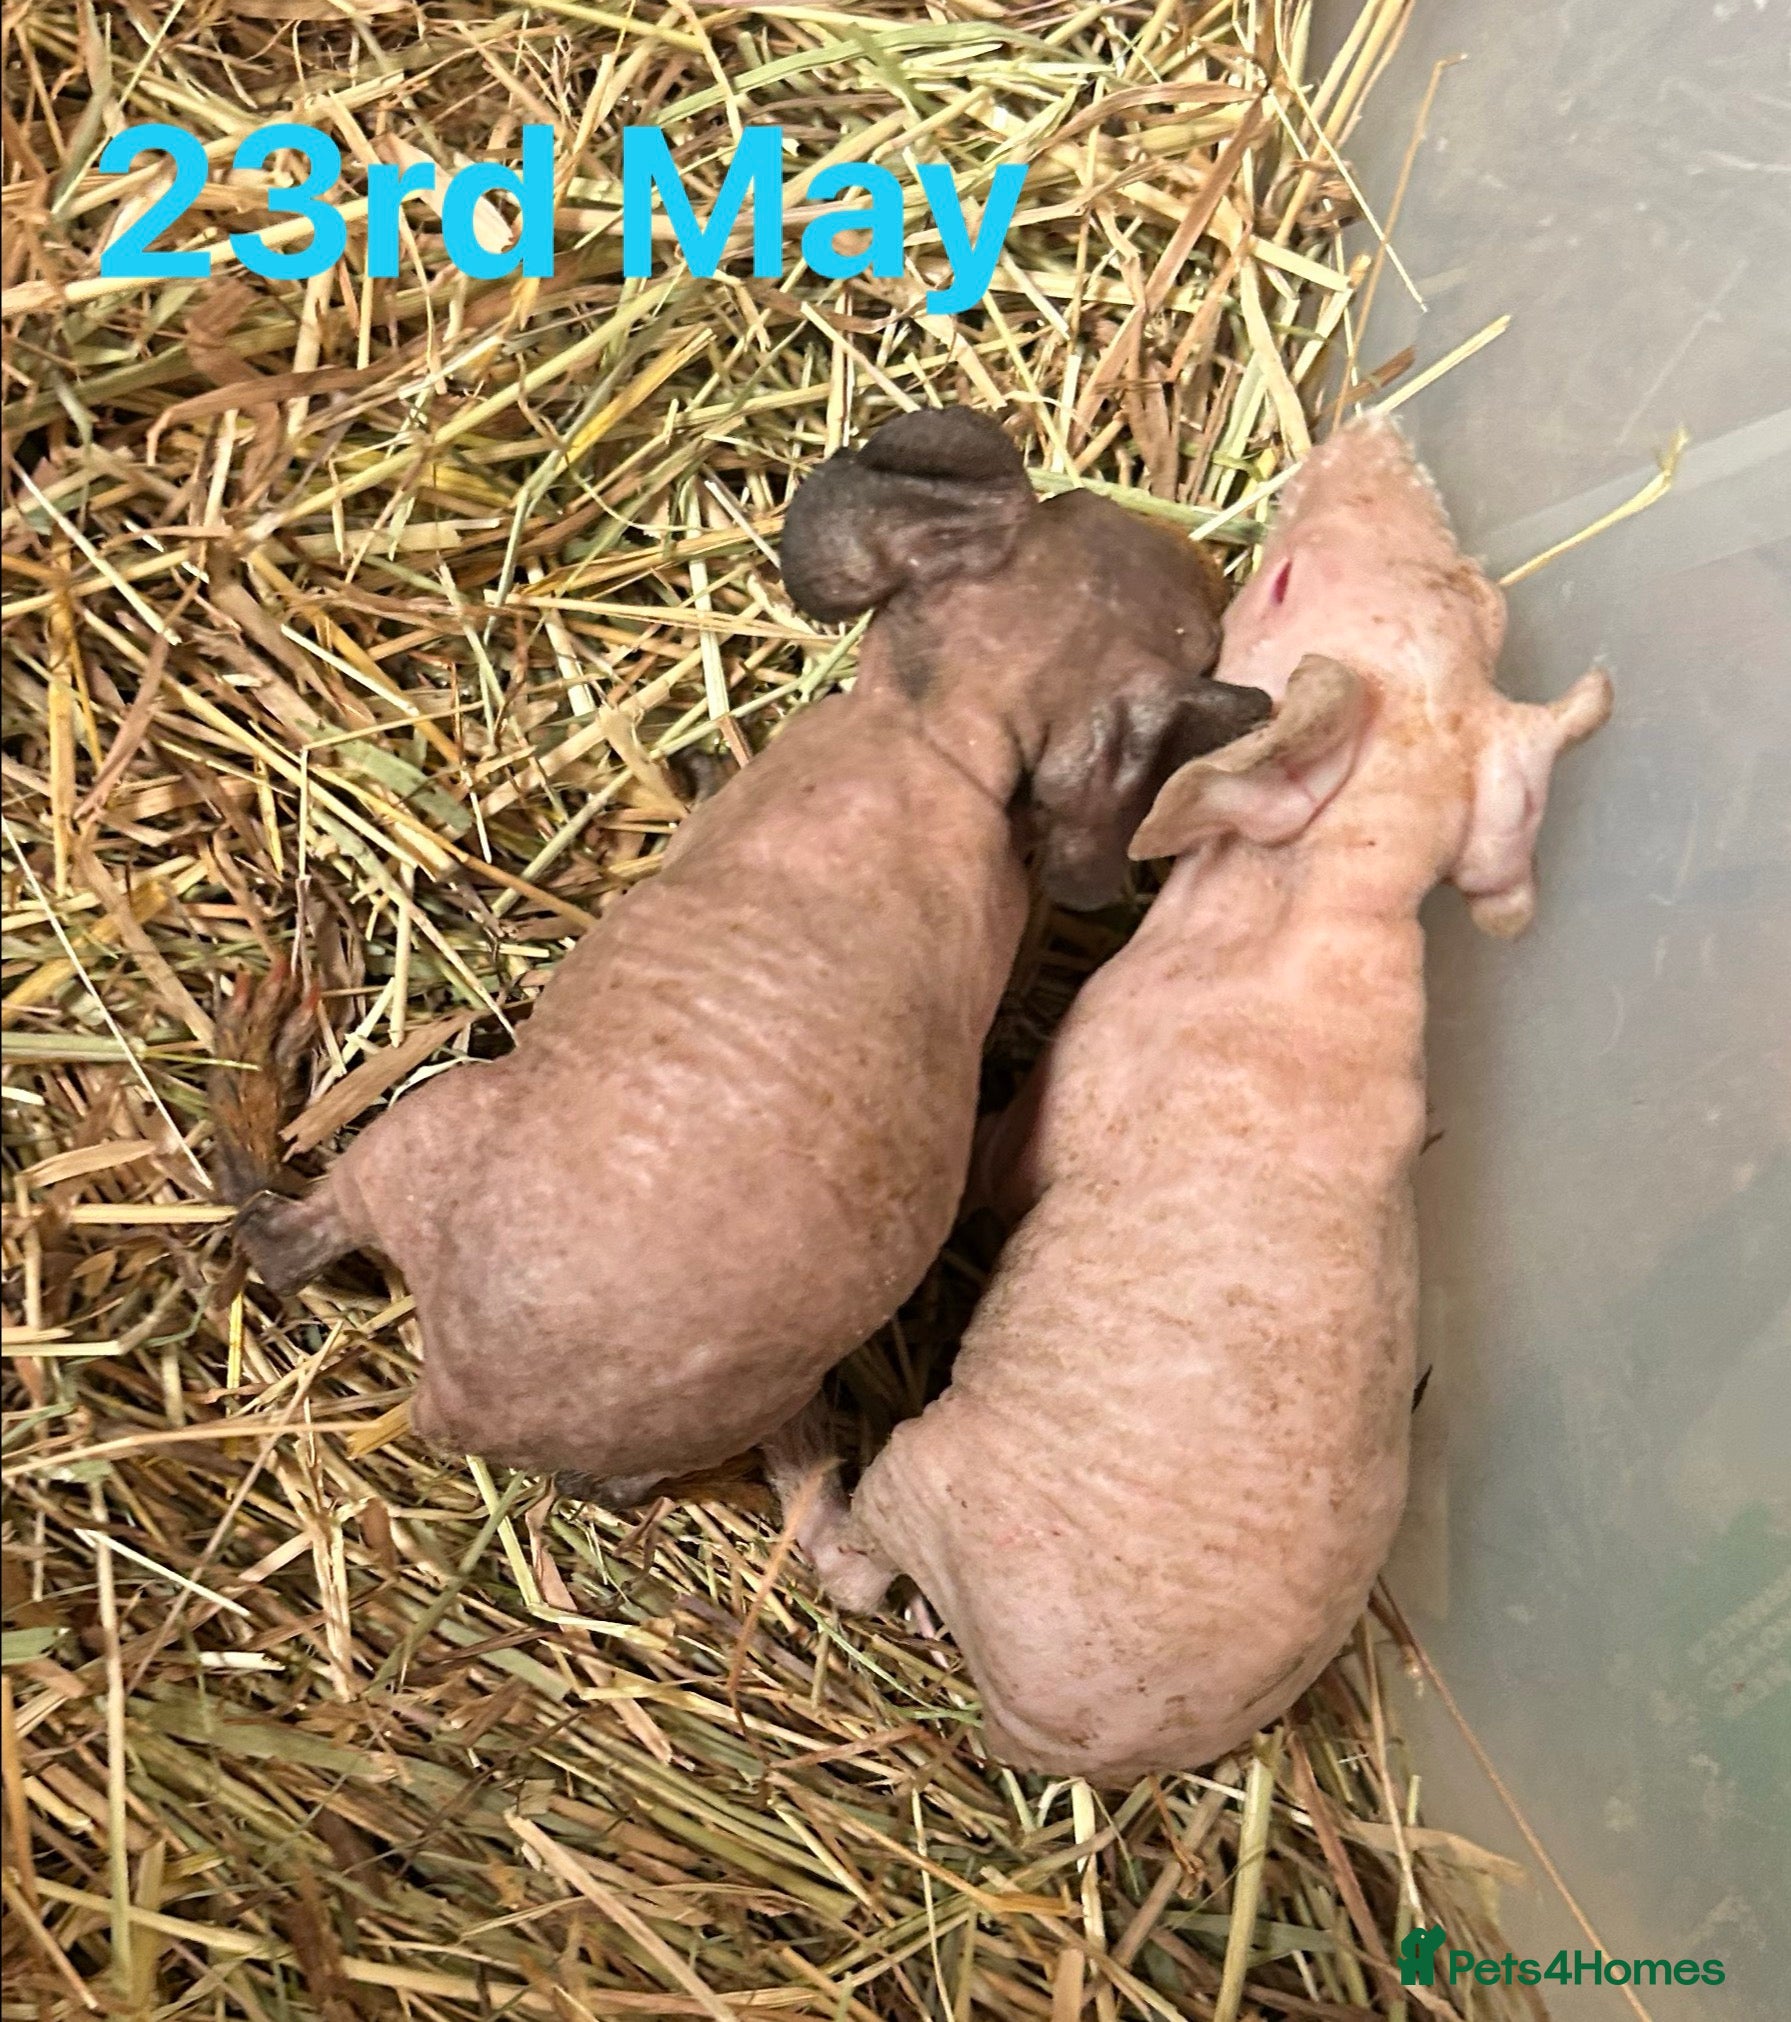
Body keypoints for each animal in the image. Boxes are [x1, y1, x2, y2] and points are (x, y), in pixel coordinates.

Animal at [225, 406, 1269, 1499]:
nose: (1196, 552)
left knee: (287, 1244)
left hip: (432, 1130)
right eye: (1080, 511)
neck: (950, 737)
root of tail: (456, 1405)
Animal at [778, 416, 1612, 1783]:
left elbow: (1006, 1167)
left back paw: (806, 1475)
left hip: (926, 1480)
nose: (1375, 430)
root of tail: (1055, 1747)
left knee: (859, 1566)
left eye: (1274, 589)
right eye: (1485, 605)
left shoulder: (1085, 1070)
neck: (1332, 908)